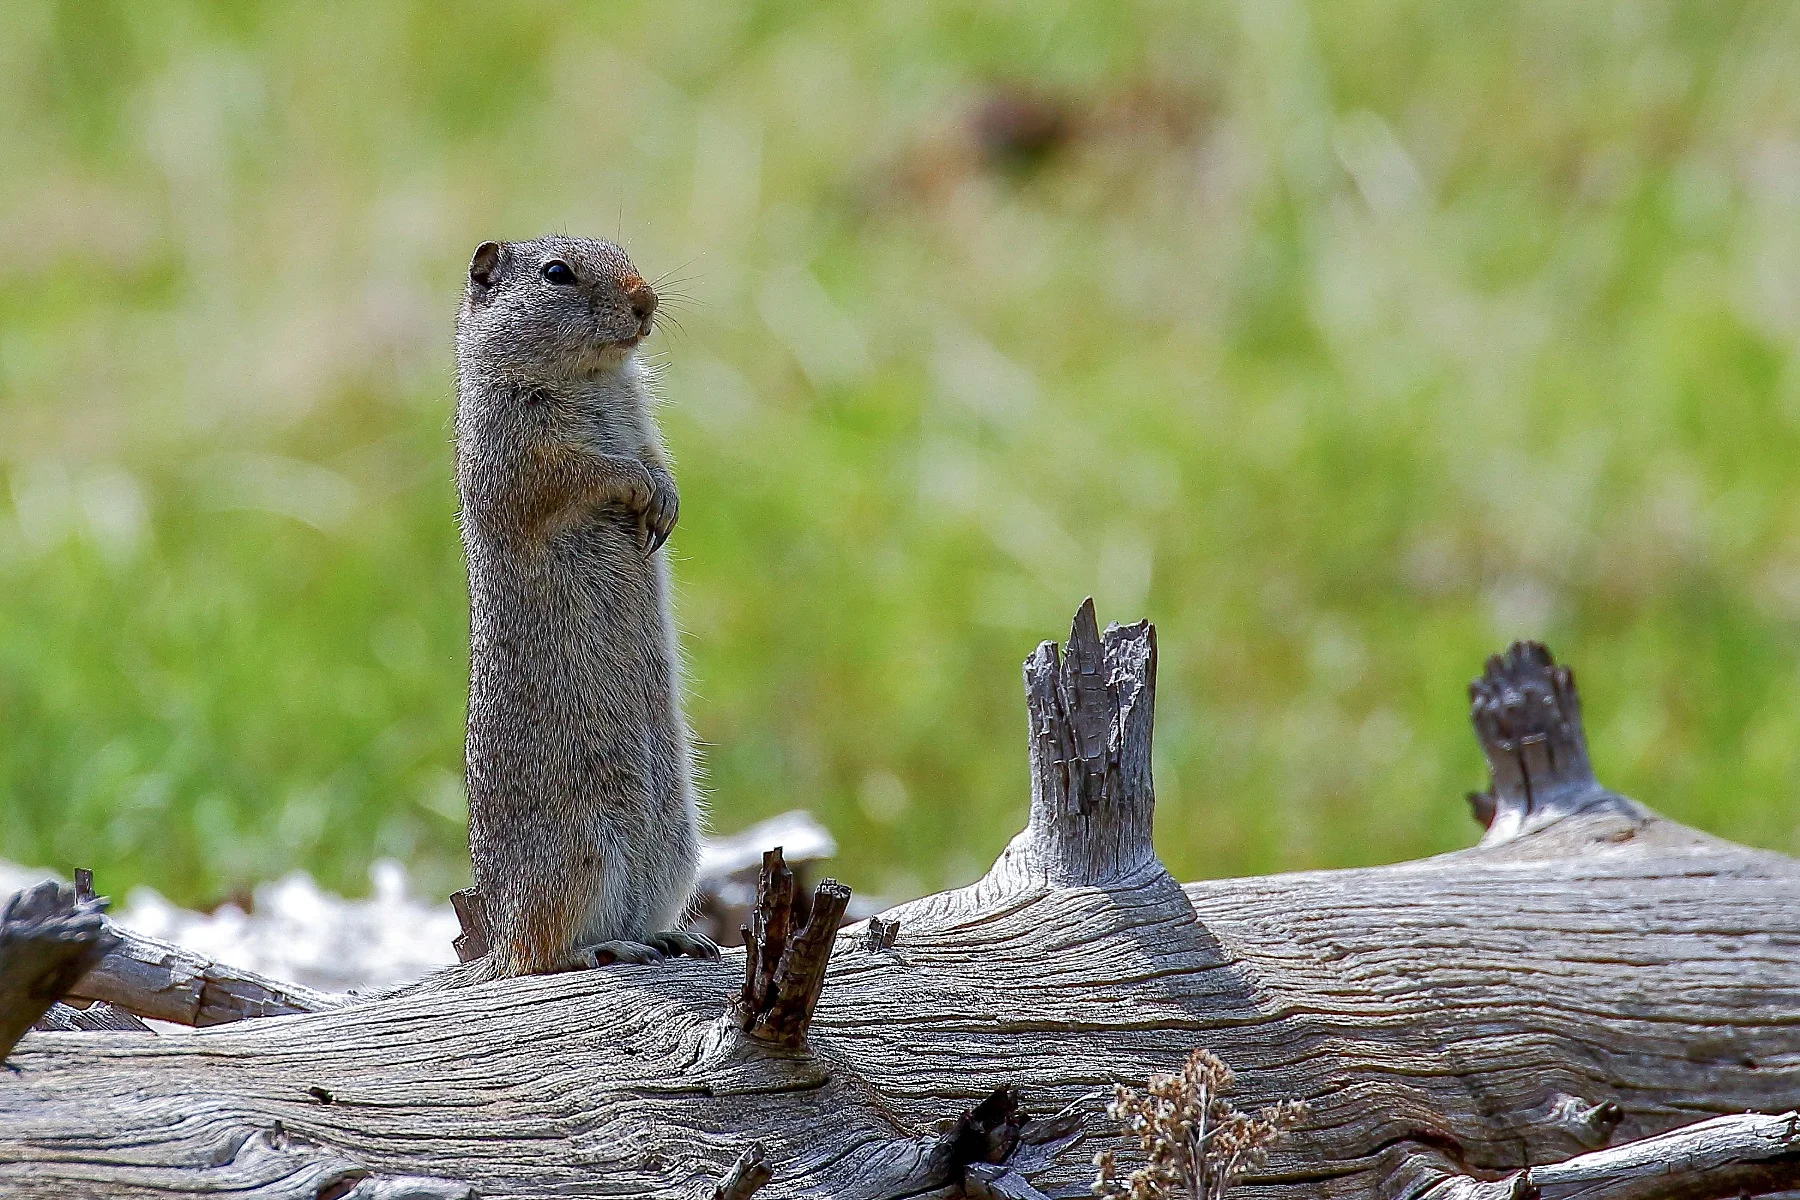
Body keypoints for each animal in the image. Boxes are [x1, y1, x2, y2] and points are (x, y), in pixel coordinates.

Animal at [438, 235, 717, 984]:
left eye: (624, 250)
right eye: (557, 273)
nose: (646, 300)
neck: (593, 377)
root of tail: (494, 948)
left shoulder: (642, 422)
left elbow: (656, 457)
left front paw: (667, 501)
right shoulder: (522, 445)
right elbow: (581, 473)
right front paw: (637, 487)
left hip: (676, 848)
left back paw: (672, 938)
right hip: (579, 855)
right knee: (540, 958)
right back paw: (595, 948)